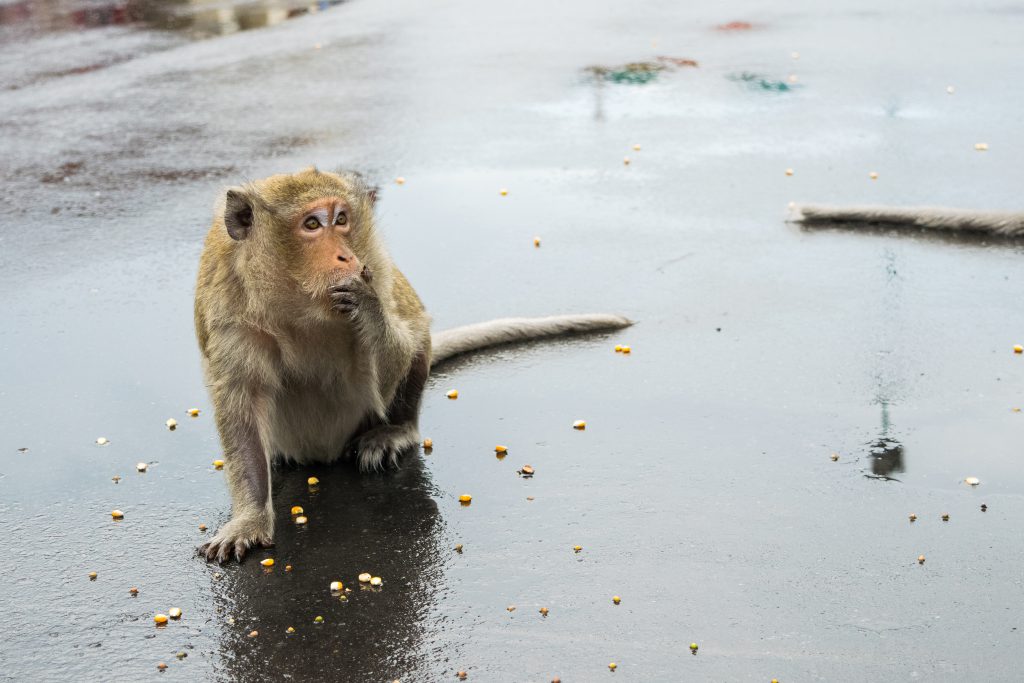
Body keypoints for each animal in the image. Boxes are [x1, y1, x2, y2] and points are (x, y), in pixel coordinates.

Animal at [193, 167, 630, 565]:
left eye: (341, 219)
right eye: (312, 224)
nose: (346, 256)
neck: (296, 304)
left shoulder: (377, 265)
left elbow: (396, 356)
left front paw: (368, 306)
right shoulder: (226, 308)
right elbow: (241, 403)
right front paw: (249, 520)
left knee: (418, 340)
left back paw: (396, 432)